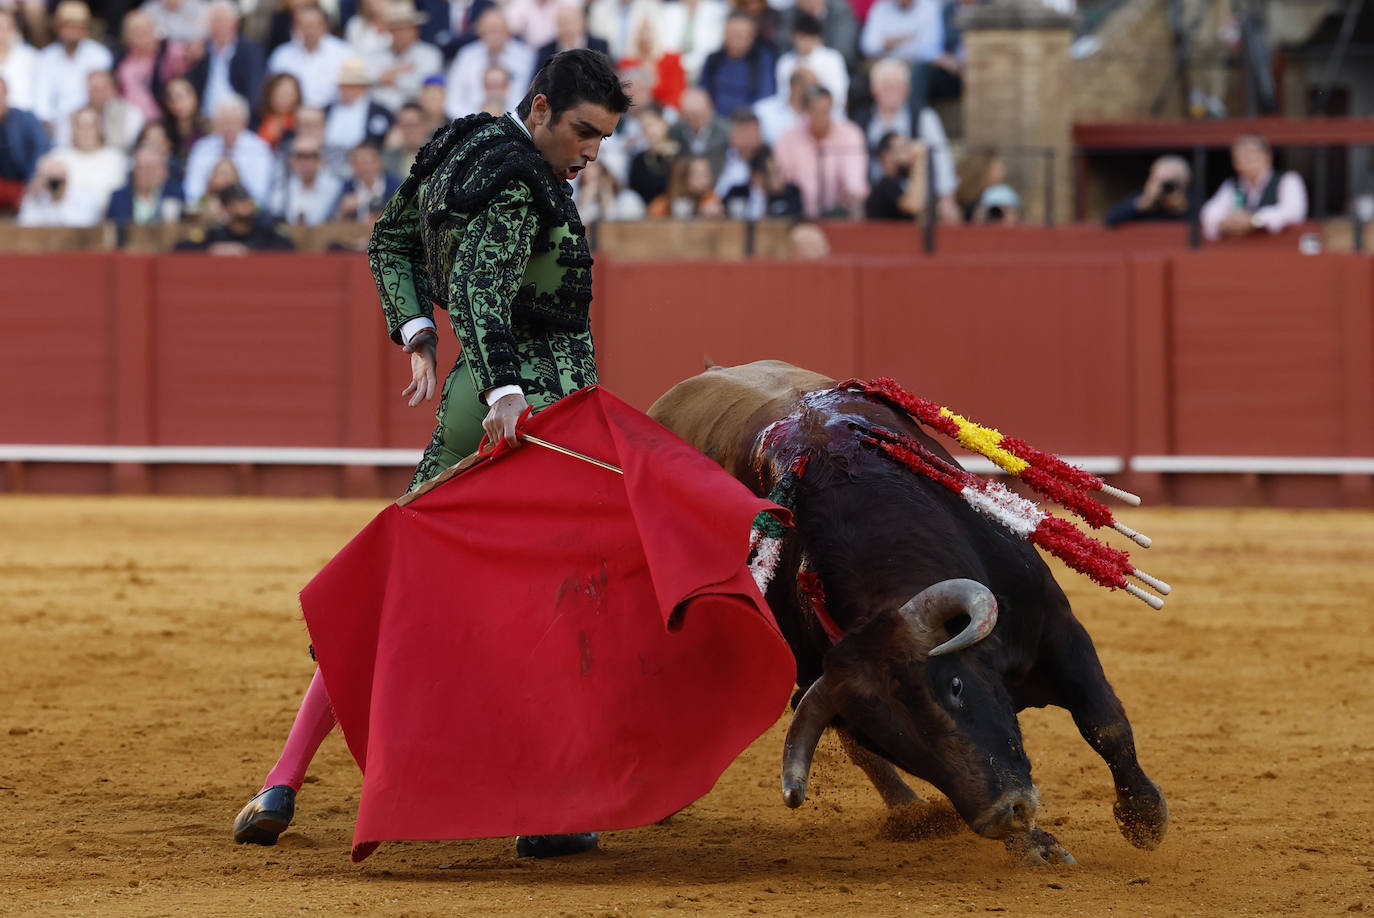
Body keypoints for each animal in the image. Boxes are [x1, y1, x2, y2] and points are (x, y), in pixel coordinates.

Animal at [648, 362, 1165, 863]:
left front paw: (1144, 818)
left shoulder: (1057, 629)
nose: (1006, 813)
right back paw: (913, 814)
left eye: (955, 686)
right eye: (896, 742)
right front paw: (1034, 844)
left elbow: (1104, 723)